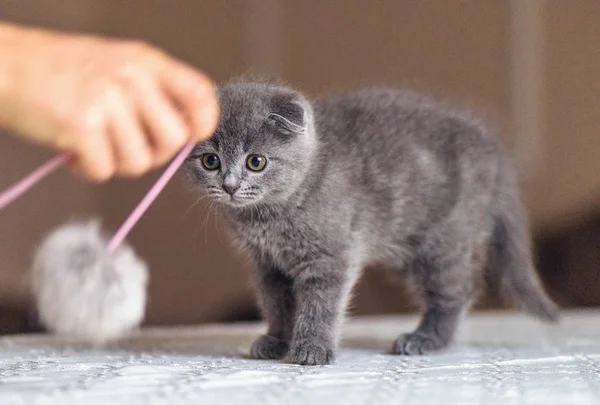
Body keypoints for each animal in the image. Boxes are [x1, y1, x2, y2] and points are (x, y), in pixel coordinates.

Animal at [185, 80, 560, 364]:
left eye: (256, 161)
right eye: (210, 161)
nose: (229, 186)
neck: (270, 216)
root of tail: (495, 150)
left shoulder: (329, 256)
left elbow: (321, 304)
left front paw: (311, 348)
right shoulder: (268, 266)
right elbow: (277, 305)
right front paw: (277, 340)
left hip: (443, 238)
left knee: (458, 289)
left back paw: (425, 338)